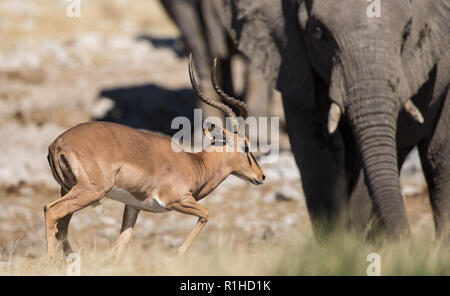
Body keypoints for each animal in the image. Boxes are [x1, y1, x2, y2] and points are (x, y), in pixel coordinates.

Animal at [221, 0, 450, 239]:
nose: (407, 239)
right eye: (318, 33)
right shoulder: (294, 64)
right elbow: (318, 155)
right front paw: (339, 245)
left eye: (407, 31)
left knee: (436, 165)